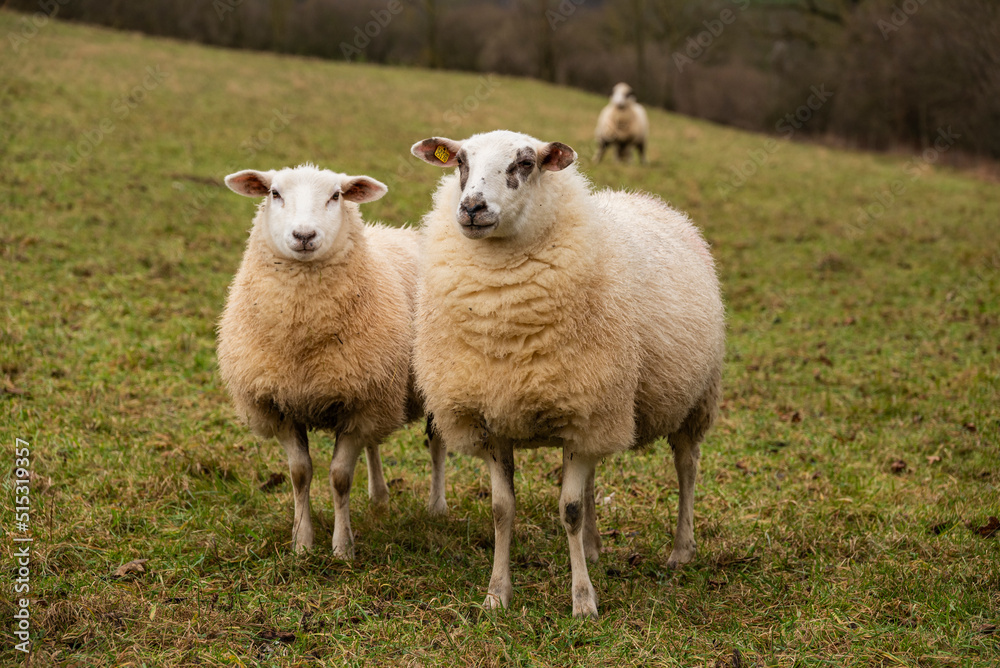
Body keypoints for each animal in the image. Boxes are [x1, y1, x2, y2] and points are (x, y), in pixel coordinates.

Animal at [222, 163, 450, 560]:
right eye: (274, 193)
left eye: (336, 196)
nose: (304, 235)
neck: (302, 339)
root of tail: (402, 233)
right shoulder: (287, 404)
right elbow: (300, 473)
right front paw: (302, 543)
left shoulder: (360, 406)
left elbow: (340, 478)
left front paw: (342, 548)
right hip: (375, 379)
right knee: (374, 443)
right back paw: (379, 498)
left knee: (436, 443)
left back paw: (437, 507)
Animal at [410, 132, 724, 620]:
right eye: (459, 161)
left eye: (525, 163)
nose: (472, 207)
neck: (503, 311)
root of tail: (647, 200)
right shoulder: (494, 419)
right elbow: (502, 510)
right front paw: (496, 595)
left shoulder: (583, 414)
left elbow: (570, 510)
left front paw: (583, 601)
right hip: (597, 407)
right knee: (595, 475)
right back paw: (593, 547)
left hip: (692, 400)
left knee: (686, 468)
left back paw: (681, 550)